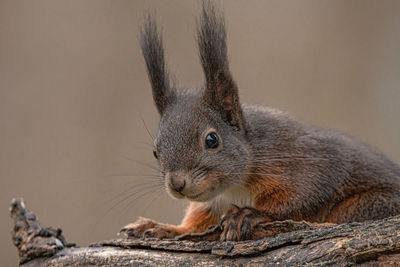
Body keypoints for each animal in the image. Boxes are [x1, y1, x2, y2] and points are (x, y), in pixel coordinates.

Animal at [120, 0, 400, 243]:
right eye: (155, 151)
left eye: (212, 140)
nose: (177, 184)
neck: (235, 187)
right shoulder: (212, 202)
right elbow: (195, 222)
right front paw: (162, 227)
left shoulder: (304, 162)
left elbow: (301, 196)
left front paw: (249, 214)